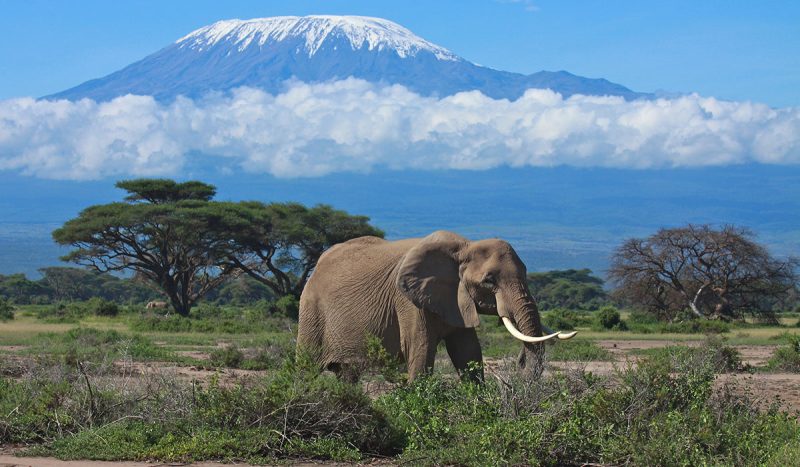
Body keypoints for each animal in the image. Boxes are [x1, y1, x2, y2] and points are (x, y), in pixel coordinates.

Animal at [297, 230, 575, 381]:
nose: (519, 362)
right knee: (306, 367)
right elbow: (420, 352)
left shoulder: (456, 299)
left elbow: (468, 353)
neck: (464, 248)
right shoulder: (407, 301)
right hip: (311, 310)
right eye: (489, 280)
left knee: (347, 374)